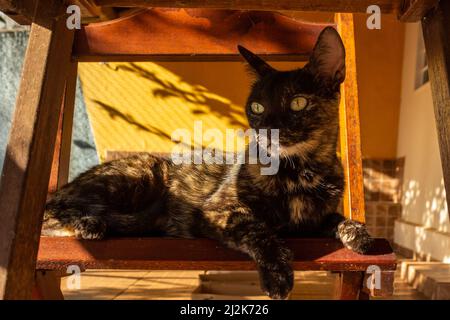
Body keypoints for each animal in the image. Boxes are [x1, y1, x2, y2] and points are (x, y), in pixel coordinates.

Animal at [43, 28, 372, 300]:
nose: (266, 129)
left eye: (298, 103)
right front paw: (277, 272)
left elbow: (339, 219)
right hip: (144, 173)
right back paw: (89, 223)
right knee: (52, 214)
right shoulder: (219, 209)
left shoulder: (314, 220)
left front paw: (360, 234)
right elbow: (257, 229)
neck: (299, 172)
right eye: (257, 107)